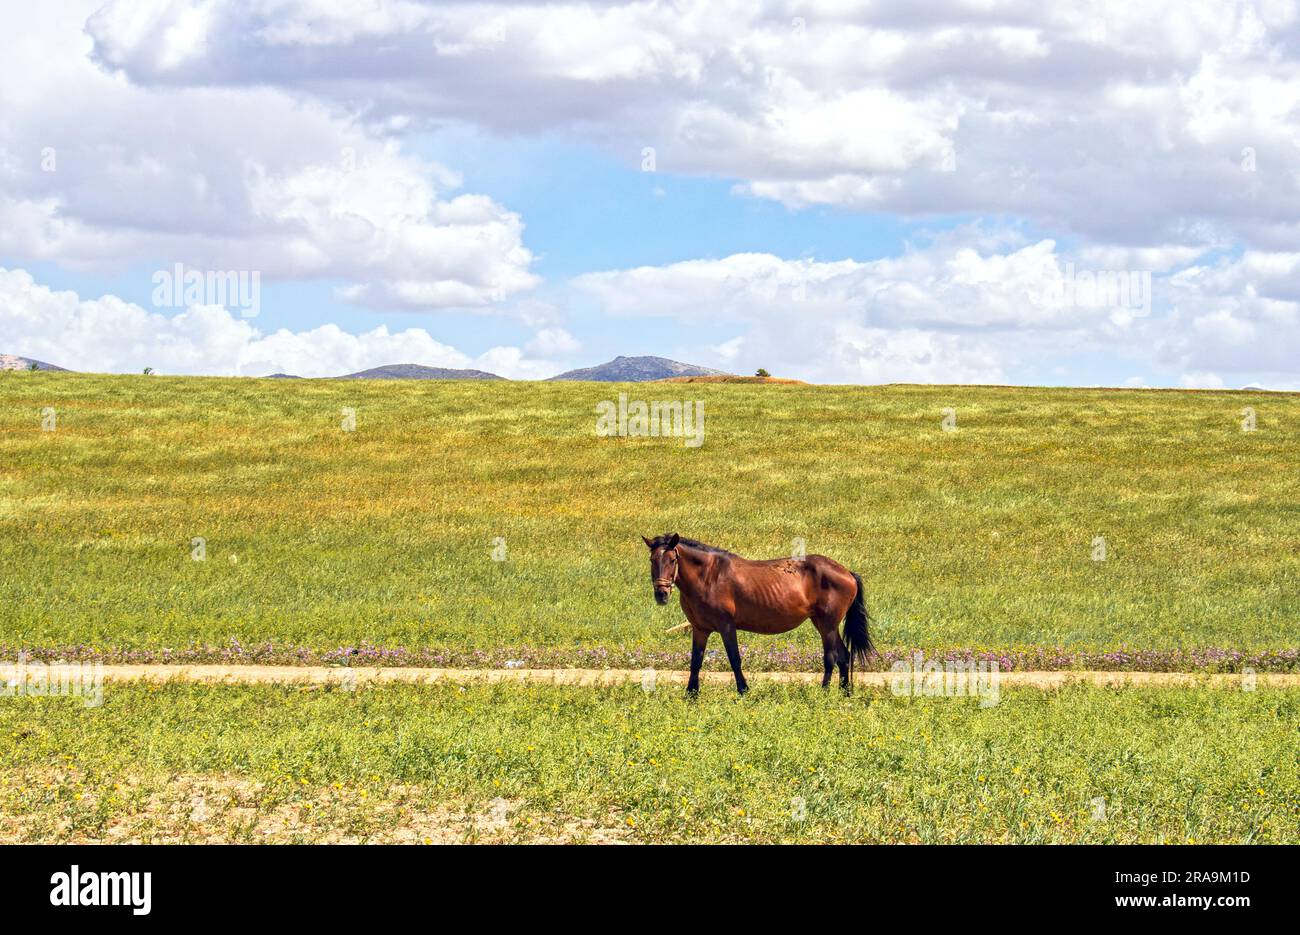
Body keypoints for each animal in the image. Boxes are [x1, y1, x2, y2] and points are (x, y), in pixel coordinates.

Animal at [639, 533, 873, 697]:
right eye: (652, 560)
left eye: (672, 560)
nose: (661, 594)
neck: (709, 576)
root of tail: (847, 572)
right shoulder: (700, 629)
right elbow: (696, 661)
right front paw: (691, 694)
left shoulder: (726, 626)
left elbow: (735, 659)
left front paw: (743, 691)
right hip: (823, 623)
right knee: (843, 656)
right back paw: (845, 693)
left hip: (828, 625)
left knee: (831, 657)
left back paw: (824, 692)